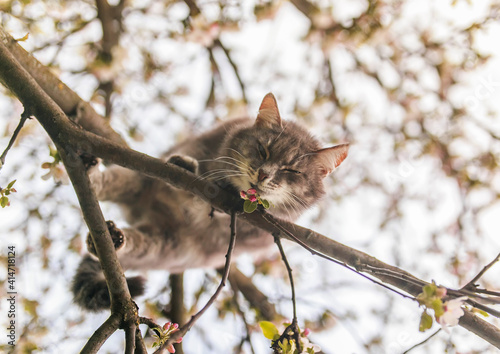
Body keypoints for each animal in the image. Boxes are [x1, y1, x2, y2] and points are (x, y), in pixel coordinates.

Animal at [72, 93, 350, 310]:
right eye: (263, 150)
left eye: (292, 170)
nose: (263, 174)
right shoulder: (176, 159)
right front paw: (187, 166)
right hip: (142, 183)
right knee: (112, 182)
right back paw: (90, 176)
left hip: (170, 245)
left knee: (138, 243)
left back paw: (112, 239)